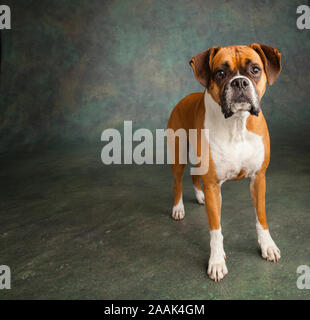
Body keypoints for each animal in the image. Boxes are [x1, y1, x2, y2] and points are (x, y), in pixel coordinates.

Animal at [168, 43, 282, 282]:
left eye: (255, 70)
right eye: (220, 73)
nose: (239, 82)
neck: (236, 124)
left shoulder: (259, 178)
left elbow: (261, 216)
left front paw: (267, 246)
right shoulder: (212, 185)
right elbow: (215, 229)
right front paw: (217, 261)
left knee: (194, 175)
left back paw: (199, 196)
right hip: (178, 155)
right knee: (178, 182)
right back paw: (178, 208)